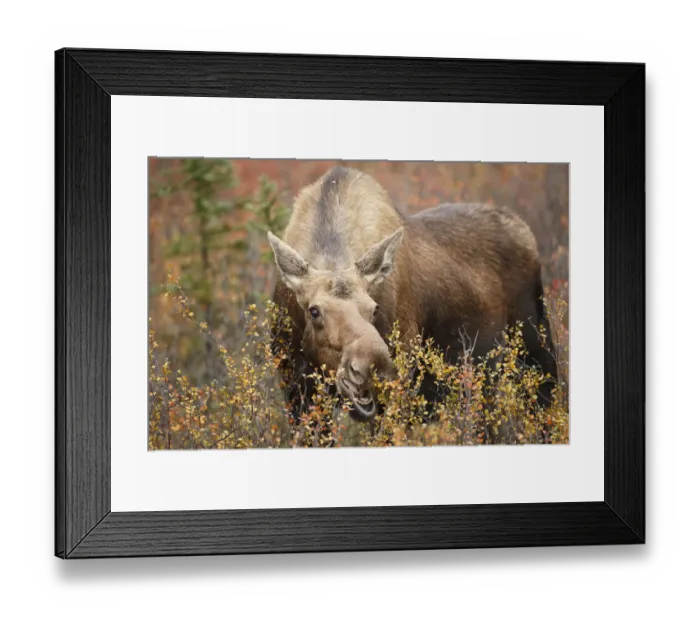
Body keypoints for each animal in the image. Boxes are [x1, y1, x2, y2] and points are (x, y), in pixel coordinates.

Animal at [267, 166, 558, 422]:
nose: (371, 365)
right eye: (314, 311)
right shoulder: (296, 392)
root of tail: (525, 229)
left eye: (374, 308)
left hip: (537, 345)